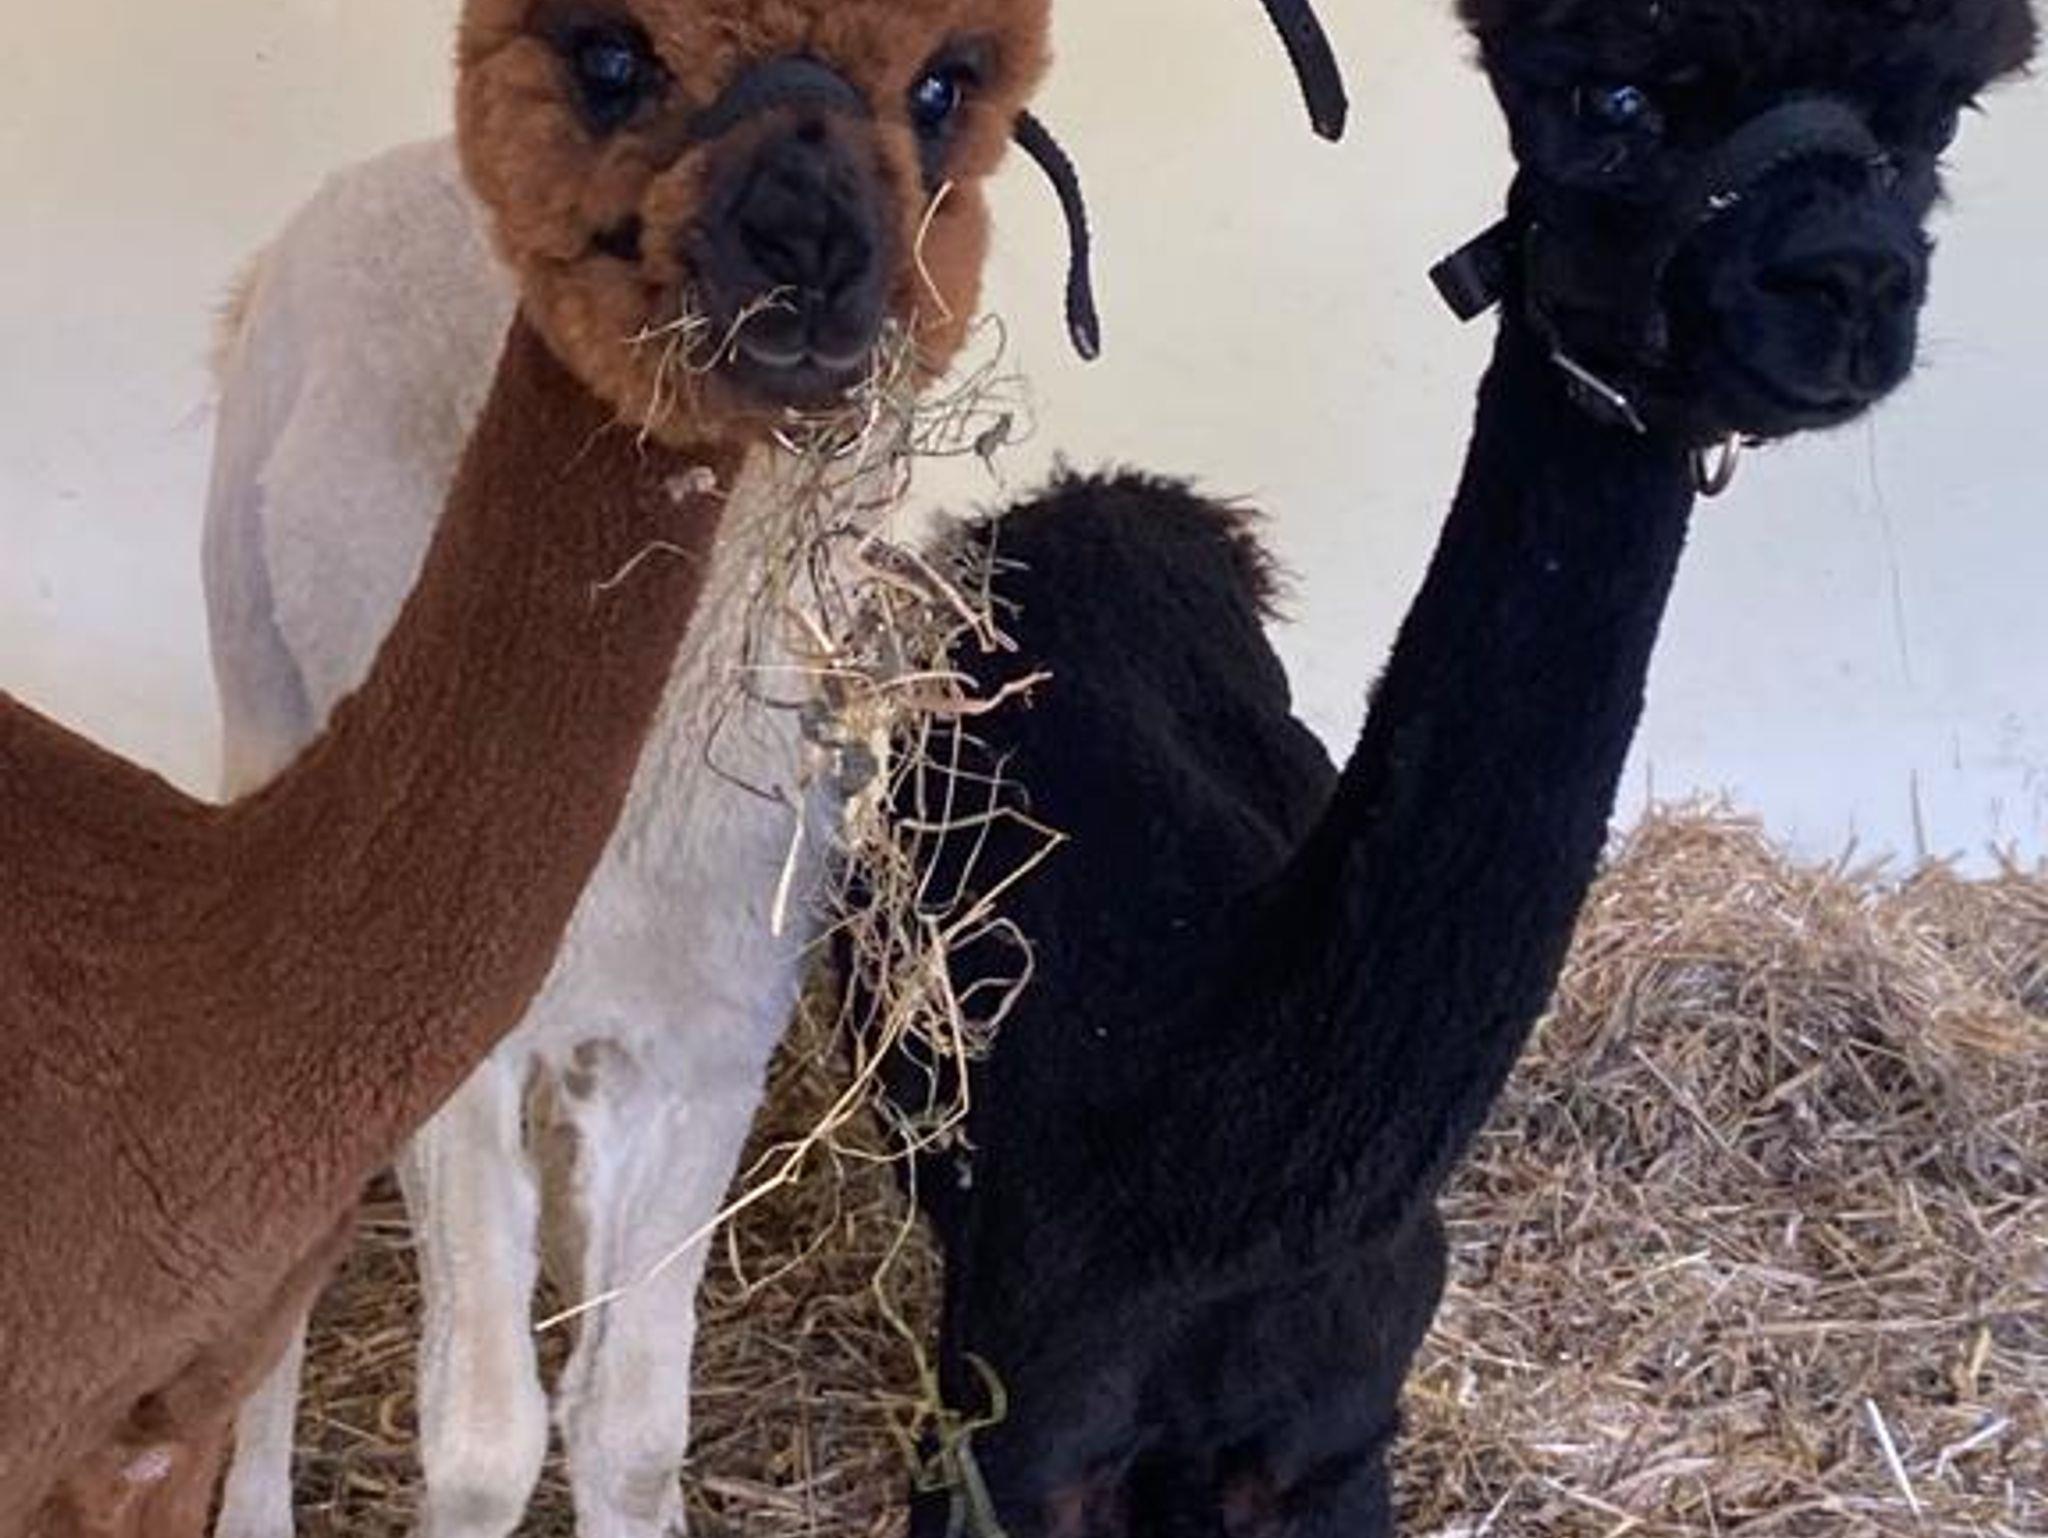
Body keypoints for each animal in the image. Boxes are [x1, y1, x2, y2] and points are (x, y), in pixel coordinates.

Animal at [877, 1, 2041, 1533]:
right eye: (1606, 101)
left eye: (1936, 122)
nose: (1847, 276)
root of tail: (1097, 500)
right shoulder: (1011, 1442)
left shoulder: (1334, 1442)